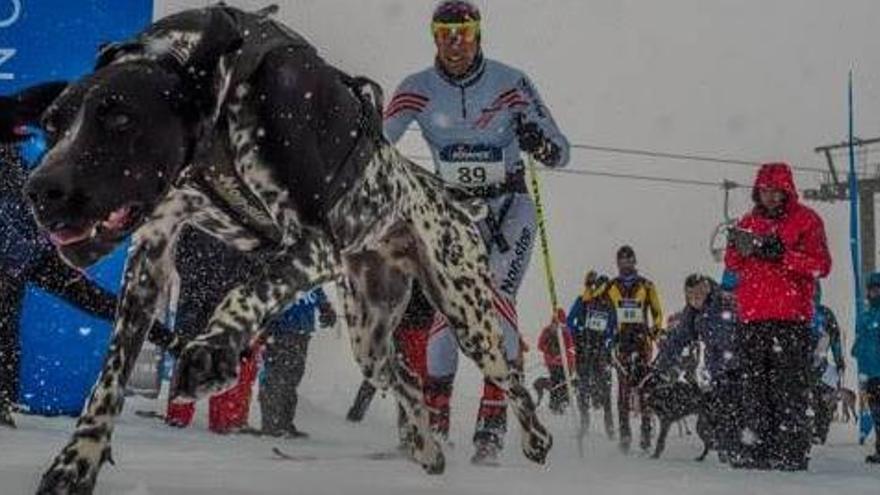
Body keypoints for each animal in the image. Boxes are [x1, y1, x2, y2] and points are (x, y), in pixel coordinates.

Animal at [13, 4, 552, 495]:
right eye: (52, 125)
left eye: (121, 118)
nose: (39, 191)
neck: (215, 85)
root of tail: (450, 197)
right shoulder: (151, 256)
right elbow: (108, 378)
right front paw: (76, 461)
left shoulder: (315, 242)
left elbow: (251, 288)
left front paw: (213, 348)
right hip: (370, 336)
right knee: (407, 378)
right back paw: (424, 445)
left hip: (468, 314)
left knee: (511, 376)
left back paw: (534, 438)